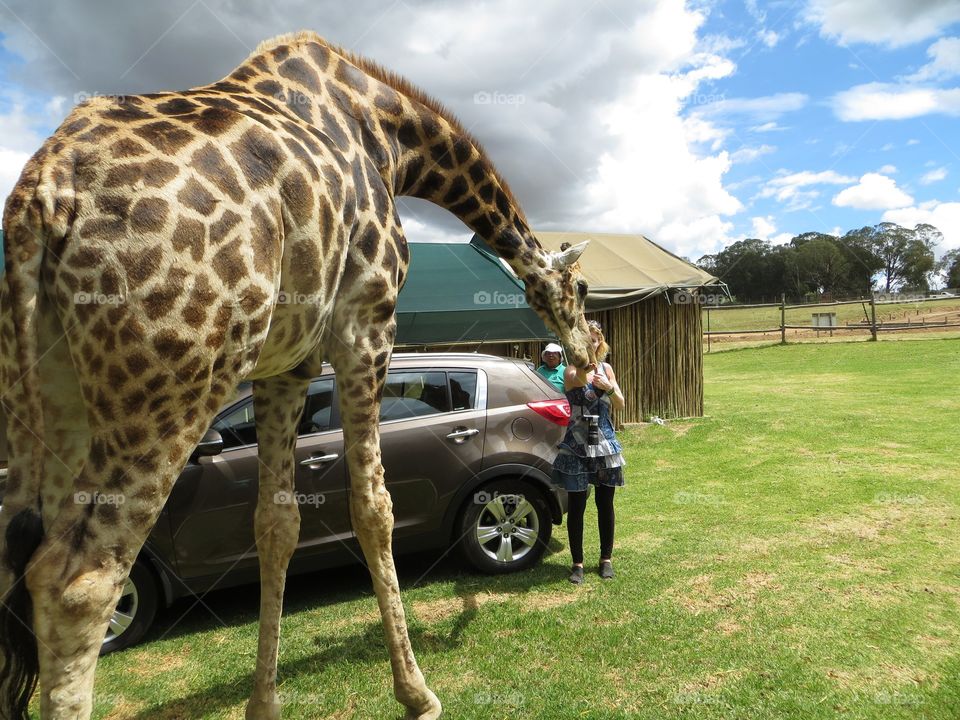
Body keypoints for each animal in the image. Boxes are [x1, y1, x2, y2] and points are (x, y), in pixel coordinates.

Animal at [0, 29, 592, 720]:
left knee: (20, 564)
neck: (390, 136)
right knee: (79, 581)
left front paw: (265, 705)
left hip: (48, 394)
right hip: (169, 384)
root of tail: (42, 195)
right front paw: (417, 694)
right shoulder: (366, 327)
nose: (590, 354)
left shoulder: (284, 366)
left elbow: (276, 525)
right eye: (581, 289)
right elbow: (374, 508)